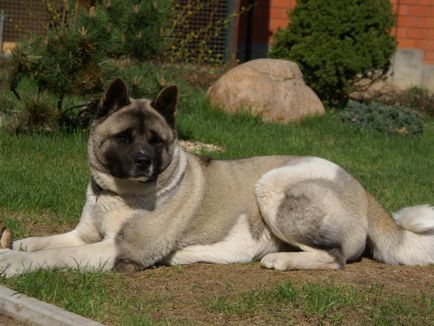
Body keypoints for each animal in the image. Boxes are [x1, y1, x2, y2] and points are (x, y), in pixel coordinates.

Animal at [0, 79, 434, 278]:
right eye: (124, 137)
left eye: (156, 141)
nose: (143, 162)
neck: (117, 195)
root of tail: (361, 188)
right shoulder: (84, 235)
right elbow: (43, 241)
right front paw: (16, 245)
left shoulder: (122, 252)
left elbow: (53, 255)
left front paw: (14, 262)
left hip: (272, 185)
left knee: (336, 257)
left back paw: (280, 259)